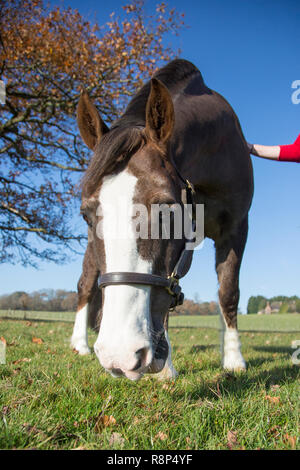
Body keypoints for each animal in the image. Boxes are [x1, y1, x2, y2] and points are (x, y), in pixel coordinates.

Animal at [70, 58, 253, 382]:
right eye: (86, 215)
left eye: (166, 209)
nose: (118, 354)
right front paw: (166, 367)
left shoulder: (236, 228)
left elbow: (228, 291)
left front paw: (233, 359)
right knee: (86, 283)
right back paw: (80, 343)